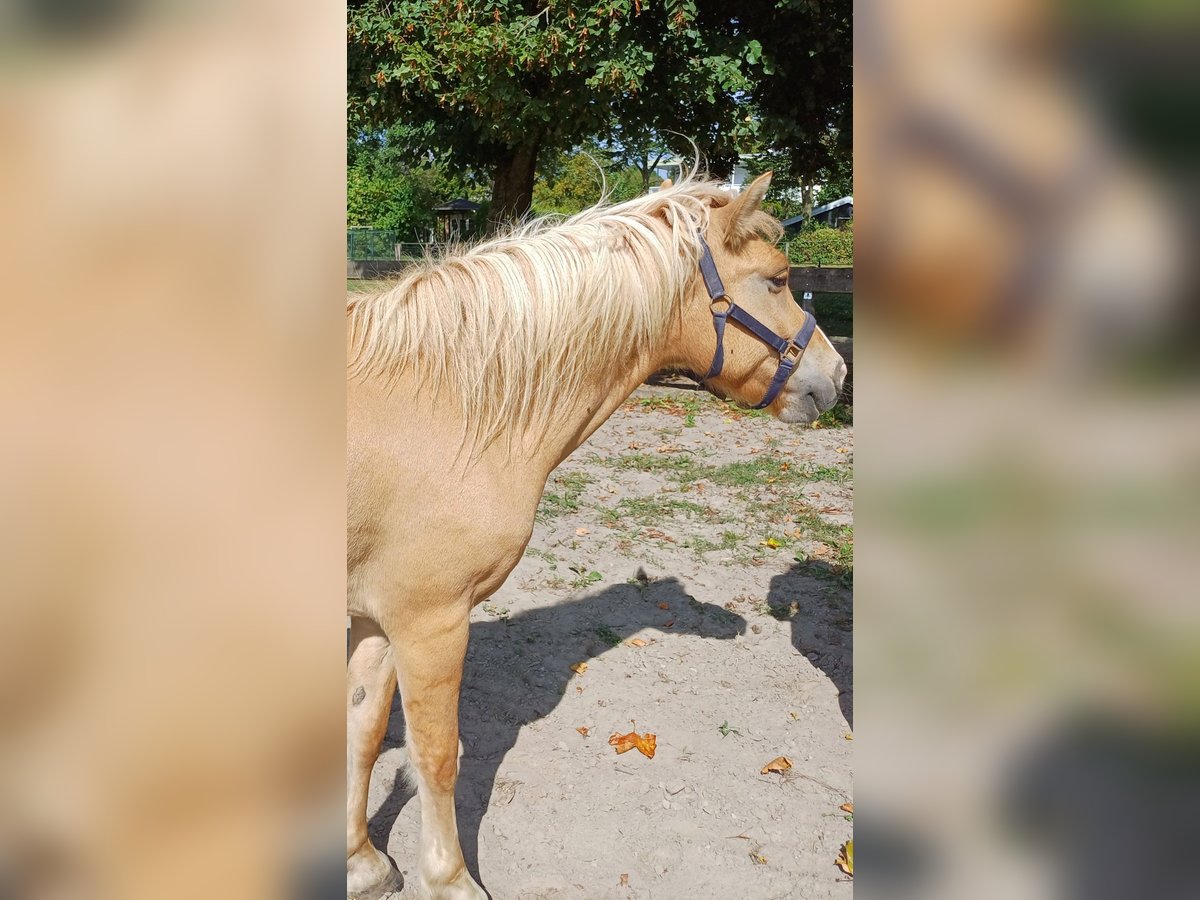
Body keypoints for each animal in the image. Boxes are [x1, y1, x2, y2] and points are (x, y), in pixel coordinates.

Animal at [345, 172, 844, 897]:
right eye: (778, 280)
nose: (836, 376)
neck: (445, 403)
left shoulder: (376, 620)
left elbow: (361, 732)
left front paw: (361, 863)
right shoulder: (428, 622)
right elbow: (436, 757)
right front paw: (452, 880)